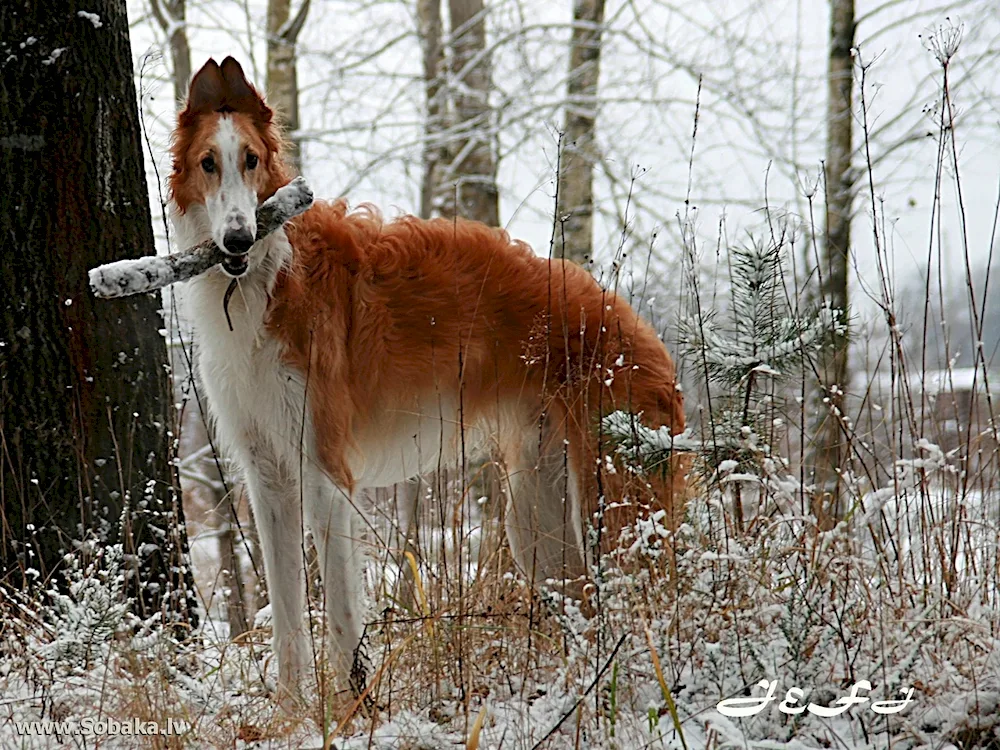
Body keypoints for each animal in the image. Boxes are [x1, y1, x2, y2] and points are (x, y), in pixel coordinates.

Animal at [170, 57, 688, 704]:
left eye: (251, 160)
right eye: (207, 162)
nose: (237, 239)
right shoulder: (267, 475)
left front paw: (353, 710)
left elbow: (342, 623)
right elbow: (289, 624)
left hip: (612, 508)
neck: (266, 278)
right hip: (539, 518)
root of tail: (647, 340)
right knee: (588, 614)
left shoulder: (326, 471)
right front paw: (293, 712)